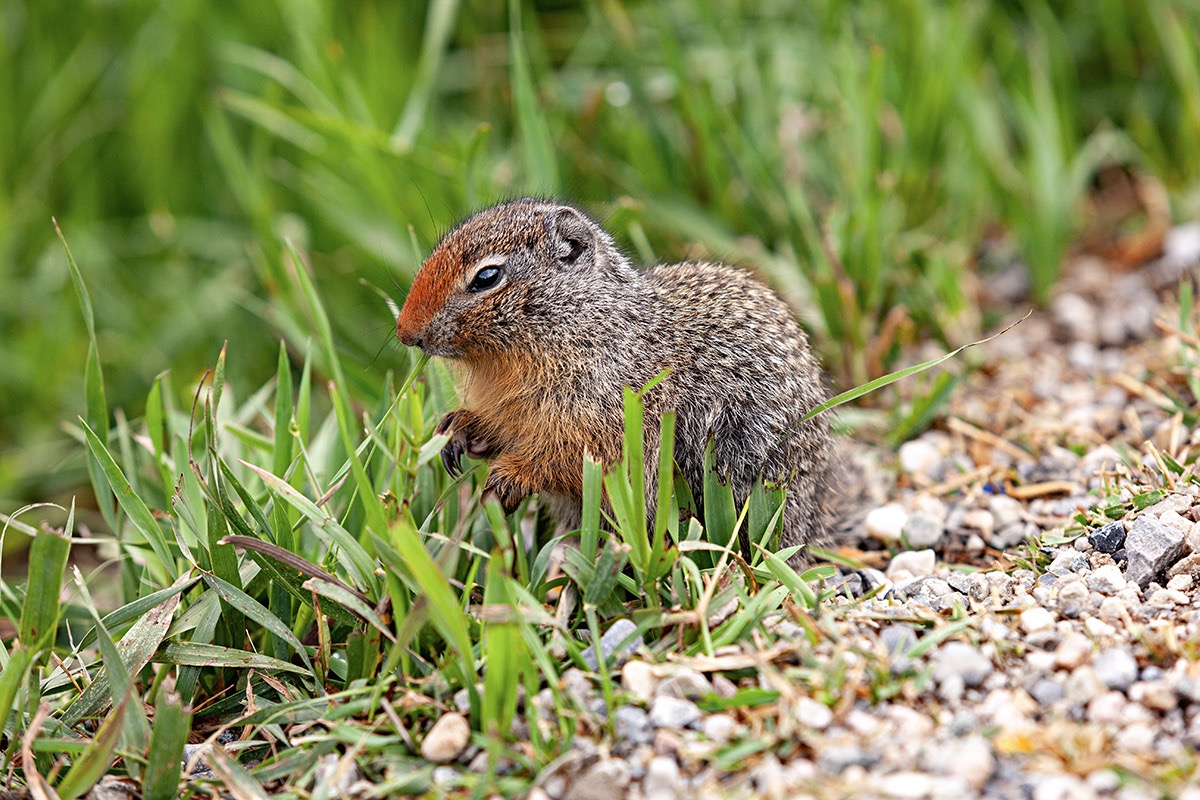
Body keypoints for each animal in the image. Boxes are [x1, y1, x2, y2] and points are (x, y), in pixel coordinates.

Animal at [398, 197, 868, 561]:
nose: (405, 333)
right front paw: (457, 429)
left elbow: (564, 457)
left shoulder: (601, 415)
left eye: (487, 277)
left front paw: (509, 477)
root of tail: (813, 524)